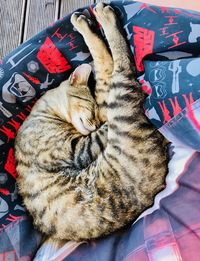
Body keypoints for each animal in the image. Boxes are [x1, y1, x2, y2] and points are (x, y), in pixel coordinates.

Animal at [14, 3, 167, 241]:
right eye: (91, 109)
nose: (95, 123)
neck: (41, 114)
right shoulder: (78, 147)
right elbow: (105, 65)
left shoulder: (91, 129)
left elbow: (103, 63)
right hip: (120, 98)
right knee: (123, 67)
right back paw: (103, 16)